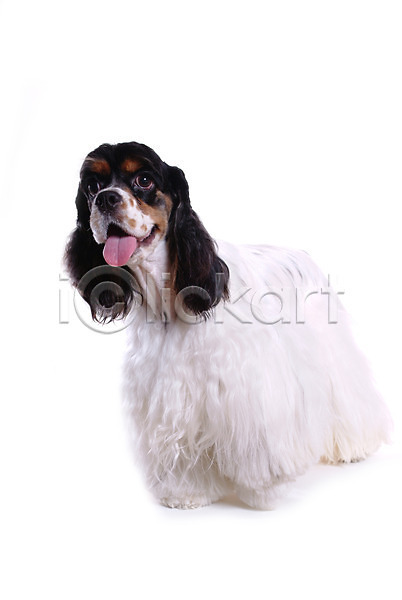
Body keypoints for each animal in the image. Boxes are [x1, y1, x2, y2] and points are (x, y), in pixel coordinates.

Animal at [64, 141, 392, 509]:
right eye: (92, 185)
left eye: (144, 179)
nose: (105, 199)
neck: (169, 300)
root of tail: (301, 254)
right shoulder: (169, 397)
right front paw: (186, 492)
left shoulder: (249, 388)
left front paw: (266, 490)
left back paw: (356, 446)